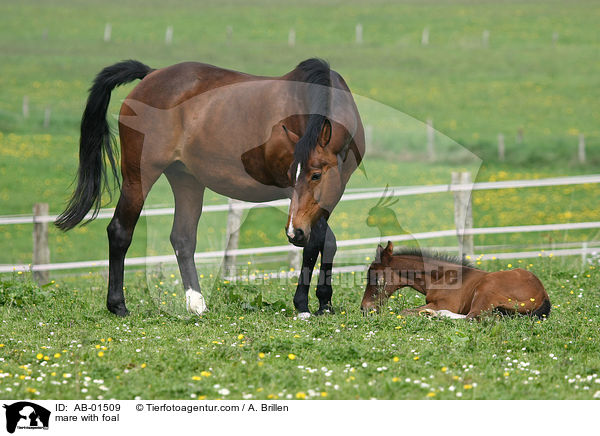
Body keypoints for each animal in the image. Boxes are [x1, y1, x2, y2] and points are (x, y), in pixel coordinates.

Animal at [358, 242, 552, 320]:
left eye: (375, 277)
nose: (365, 308)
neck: (442, 277)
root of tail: (542, 295)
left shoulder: (446, 303)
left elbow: (405, 311)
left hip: (486, 289)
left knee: (472, 318)